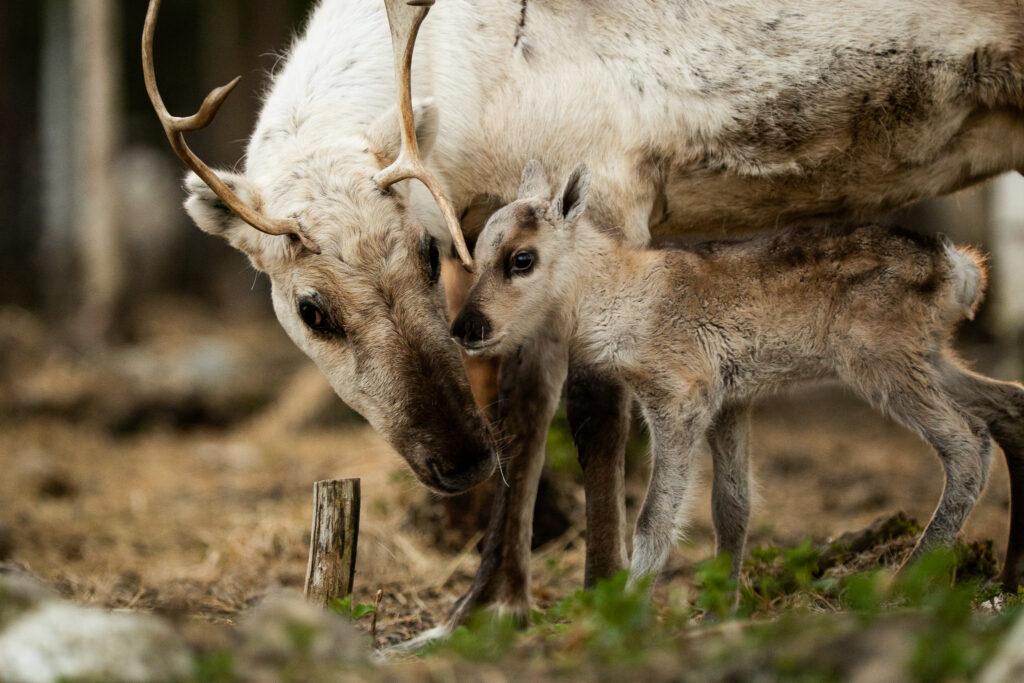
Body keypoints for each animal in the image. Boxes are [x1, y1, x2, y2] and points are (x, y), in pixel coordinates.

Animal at [453, 160, 1024, 594]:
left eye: (522, 259)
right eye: (474, 255)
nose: (465, 328)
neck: (619, 299)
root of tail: (958, 268)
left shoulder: (680, 397)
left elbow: (655, 517)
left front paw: (632, 607)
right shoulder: (730, 400)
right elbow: (733, 506)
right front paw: (720, 608)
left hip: (884, 363)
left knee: (966, 443)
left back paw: (906, 579)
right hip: (931, 356)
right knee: (1006, 405)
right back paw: (1005, 577)